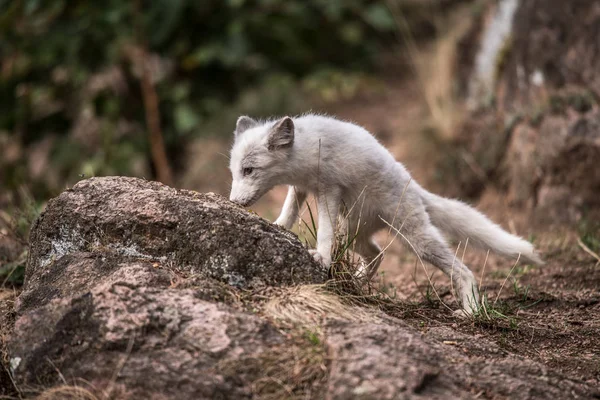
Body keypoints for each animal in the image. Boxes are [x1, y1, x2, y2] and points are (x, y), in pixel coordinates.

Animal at [229, 114, 544, 314]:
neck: (305, 148)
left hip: (416, 240)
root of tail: (412, 184)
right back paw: (355, 282)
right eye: (233, 172)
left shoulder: (327, 190)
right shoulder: (301, 187)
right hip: (354, 231)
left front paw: (321, 256)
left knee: (464, 270)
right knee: (377, 254)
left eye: (249, 170)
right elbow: (290, 210)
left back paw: (470, 312)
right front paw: (279, 225)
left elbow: (324, 232)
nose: (233, 202)